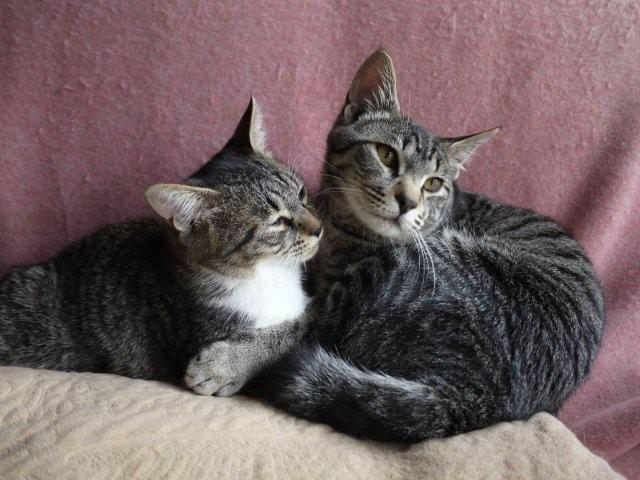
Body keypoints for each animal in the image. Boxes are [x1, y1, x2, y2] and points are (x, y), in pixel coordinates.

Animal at [0, 98, 322, 388]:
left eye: (302, 194)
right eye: (277, 222)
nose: (319, 228)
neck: (269, 274)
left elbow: (300, 321)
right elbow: (291, 329)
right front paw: (223, 366)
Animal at [188, 51, 604, 443]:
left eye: (434, 184)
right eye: (386, 154)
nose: (408, 201)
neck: (346, 232)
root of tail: (466, 403)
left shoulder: (335, 298)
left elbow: (293, 327)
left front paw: (226, 362)